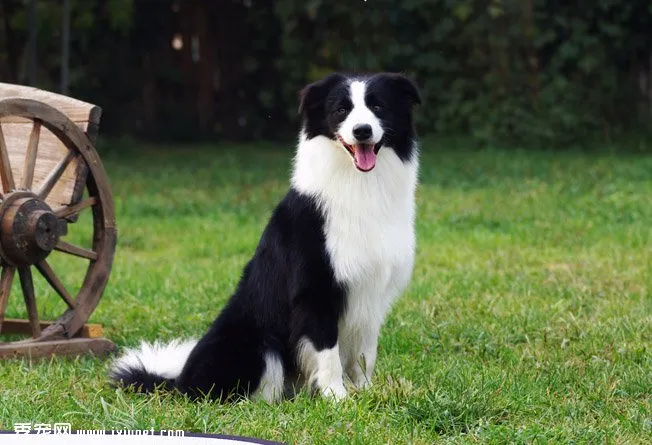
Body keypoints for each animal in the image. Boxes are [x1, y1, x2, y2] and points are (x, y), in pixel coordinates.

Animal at [112, 73, 422, 402]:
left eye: (378, 106)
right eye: (341, 110)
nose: (362, 131)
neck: (360, 184)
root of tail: (179, 382)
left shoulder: (372, 293)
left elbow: (364, 355)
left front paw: (366, 392)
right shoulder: (316, 291)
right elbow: (328, 353)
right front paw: (336, 397)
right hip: (257, 343)